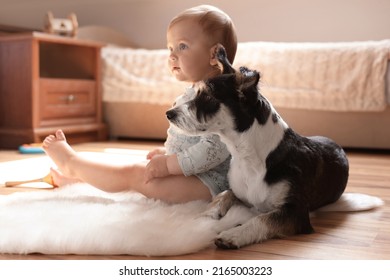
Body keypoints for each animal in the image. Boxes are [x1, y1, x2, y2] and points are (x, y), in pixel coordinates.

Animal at [166, 46, 382, 249]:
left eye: (208, 98)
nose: (169, 113)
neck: (248, 156)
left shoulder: (296, 213)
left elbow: (262, 219)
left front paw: (233, 235)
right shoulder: (238, 191)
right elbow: (223, 194)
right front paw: (201, 218)